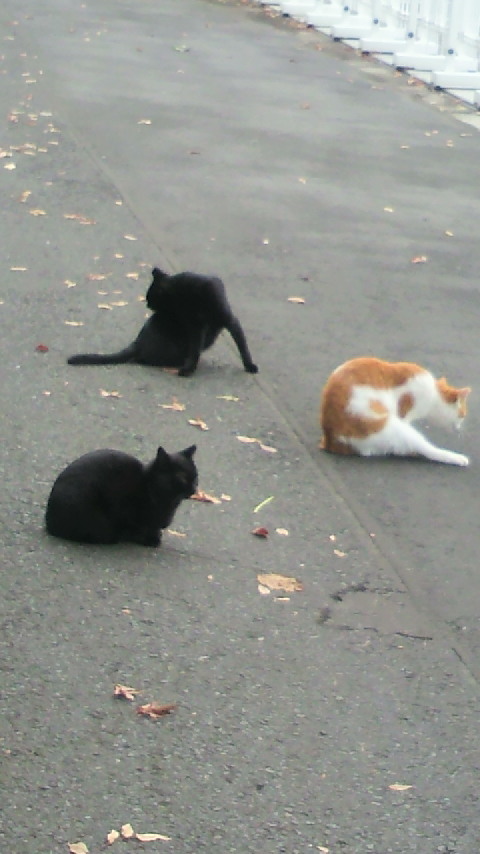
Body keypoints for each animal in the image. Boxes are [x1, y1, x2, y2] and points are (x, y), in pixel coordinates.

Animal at [45, 444, 197, 546]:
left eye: (196, 476)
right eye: (183, 478)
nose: (194, 489)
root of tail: (48, 521)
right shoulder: (124, 510)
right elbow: (140, 527)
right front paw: (150, 540)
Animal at [68, 267, 258, 377]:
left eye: (150, 298)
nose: (147, 304)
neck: (190, 297)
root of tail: (136, 343)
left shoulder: (228, 319)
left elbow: (242, 345)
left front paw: (250, 366)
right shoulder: (195, 328)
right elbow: (195, 350)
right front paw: (189, 369)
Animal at [319, 357, 471, 466]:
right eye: (462, 416)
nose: (459, 428)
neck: (434, 393)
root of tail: (331, 441)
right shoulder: (406, 410)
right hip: (395, 428)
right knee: (426, 449)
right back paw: (458, 458)